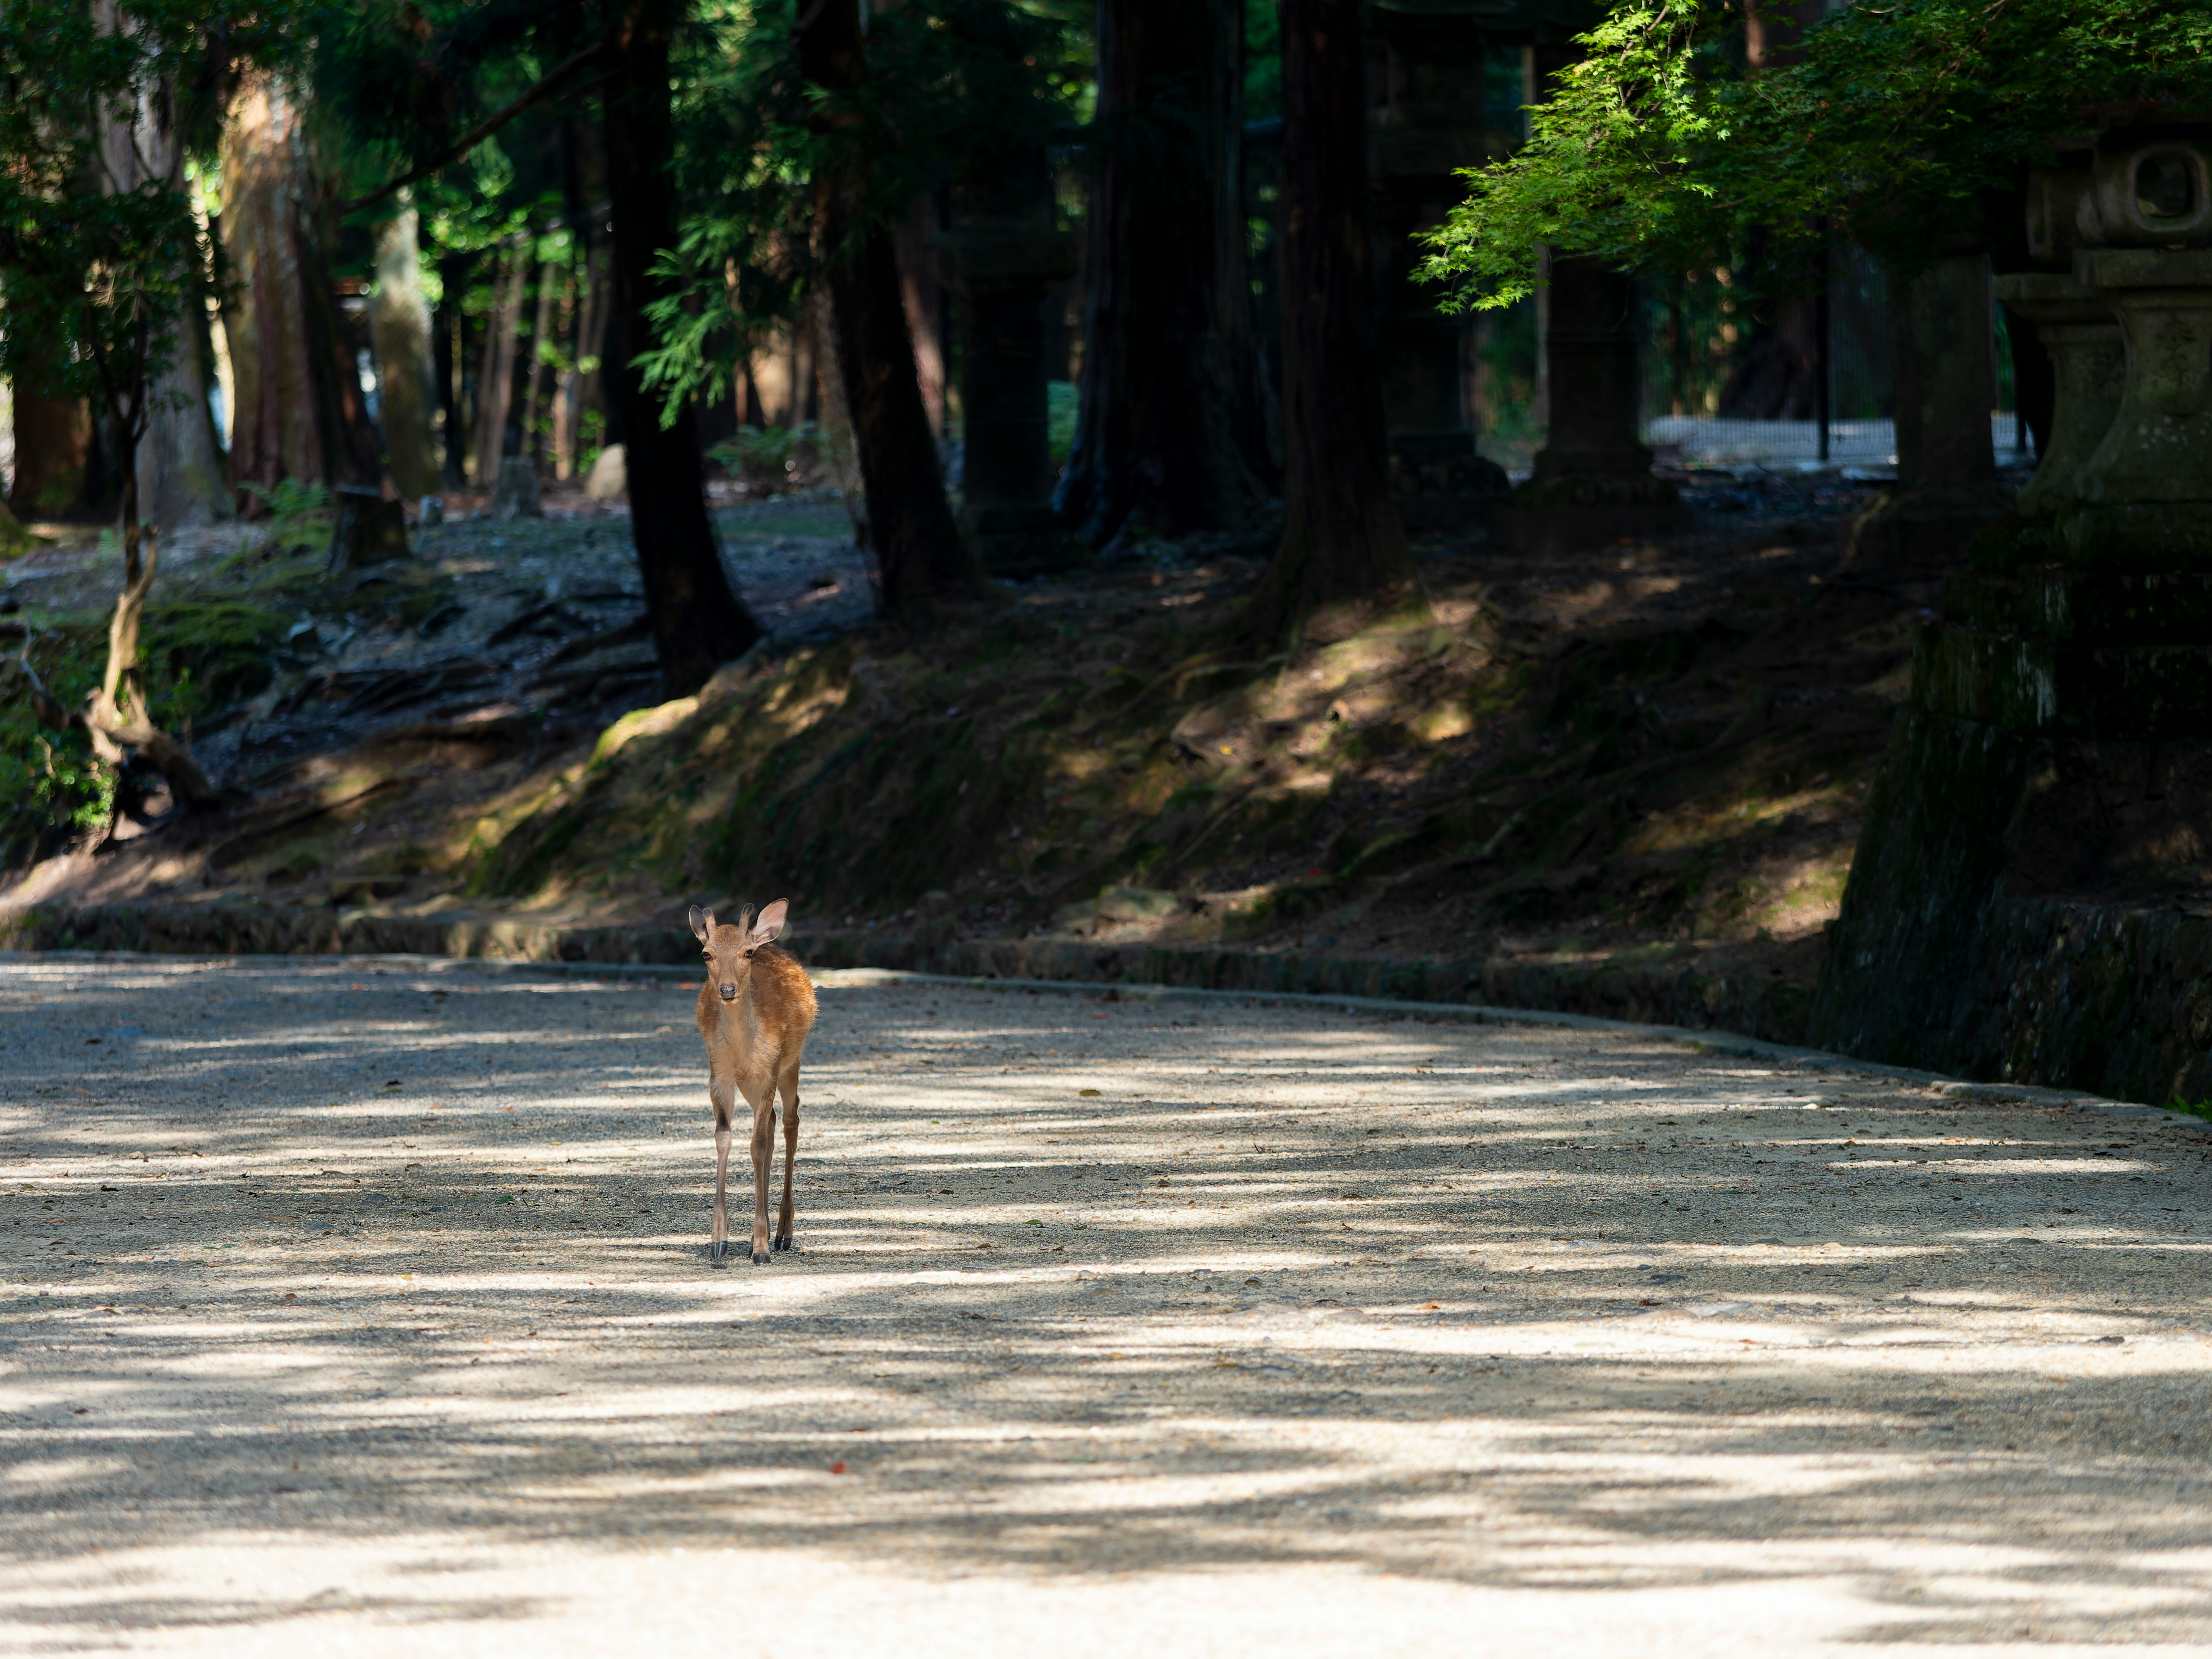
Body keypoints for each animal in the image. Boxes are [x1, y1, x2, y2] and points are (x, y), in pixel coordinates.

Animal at [689, 899, 818, 1265]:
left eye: (747, 953)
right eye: (706, 954)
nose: (728, 990)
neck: (743, 1048)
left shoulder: (769, 1070)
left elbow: (757, 1144)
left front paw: (761, 1247)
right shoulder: (718, 1075)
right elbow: (724, 1138)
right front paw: (719, 1241)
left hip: (791, 1064)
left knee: (790, 1120)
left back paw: (783, 1235)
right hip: (749, 1084)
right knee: (773, 1121)